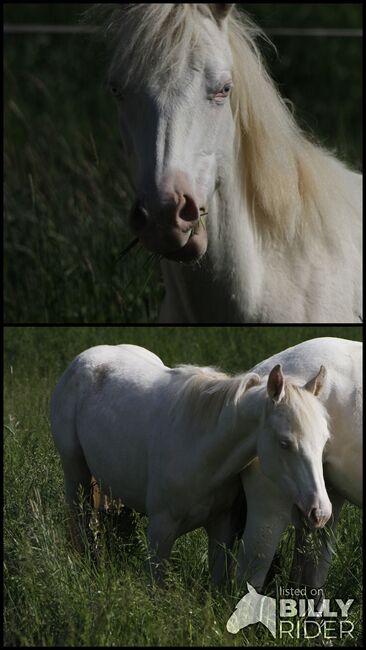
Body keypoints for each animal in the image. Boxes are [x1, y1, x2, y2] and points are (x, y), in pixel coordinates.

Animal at [50, 342, 332, 580]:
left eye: (324, 440)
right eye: (285, 443)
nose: (320, 512)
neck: (201, 452)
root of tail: (88, 356)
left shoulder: (221, 529)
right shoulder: (160, 533)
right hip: (75, 474)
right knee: (80, 520)